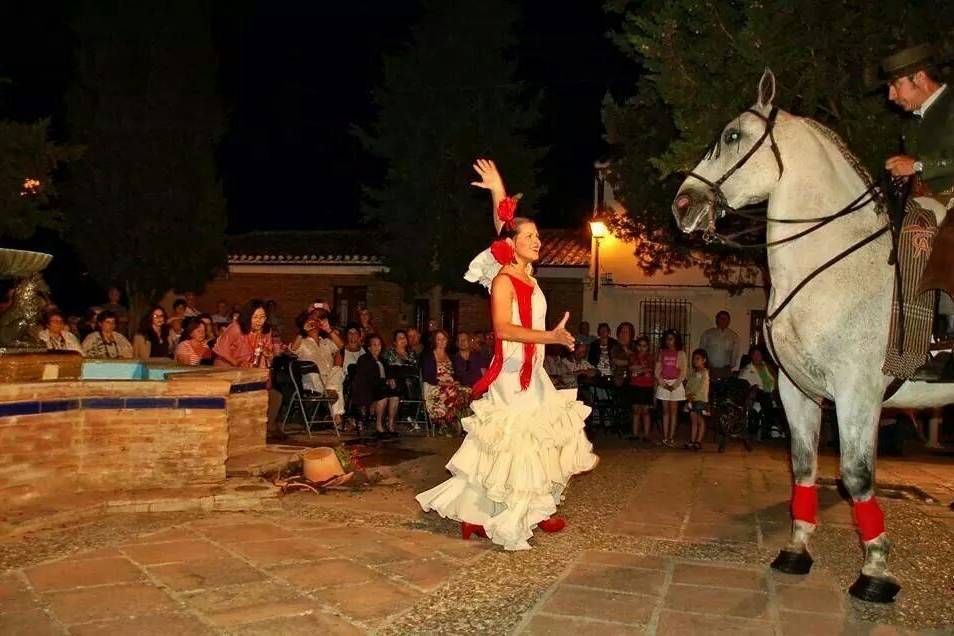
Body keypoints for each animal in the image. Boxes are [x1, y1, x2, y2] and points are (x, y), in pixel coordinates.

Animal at [668, 71, 952, 608]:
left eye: (732, 135)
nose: (683, 205)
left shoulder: (857, 393)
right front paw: (797, 550)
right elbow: (802, 467)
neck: (833, 264)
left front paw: (875, 572)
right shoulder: (796, 390)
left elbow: (857, 476)